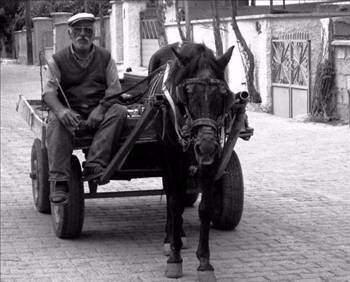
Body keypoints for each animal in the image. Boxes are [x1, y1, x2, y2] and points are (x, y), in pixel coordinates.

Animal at [148, 43, 238, 280]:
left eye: (223, 95)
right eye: (186, 94)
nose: (205, 146)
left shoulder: (212, 162)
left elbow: (205, 209)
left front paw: (204, 263)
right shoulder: (172, 160)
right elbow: (175, 203)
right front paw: (174, 257)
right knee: (171, 196)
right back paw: (170, 238)